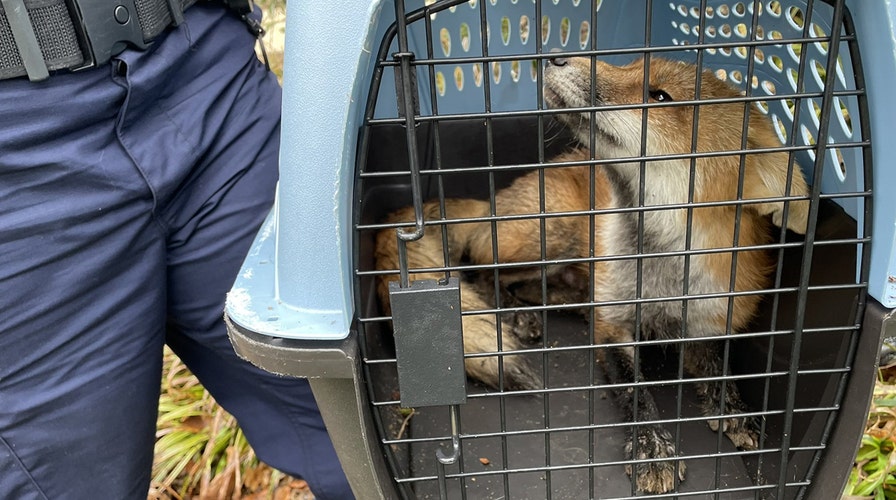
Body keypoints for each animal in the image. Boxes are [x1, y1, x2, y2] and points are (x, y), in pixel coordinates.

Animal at [374, 55, 808, 492]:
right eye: (631, 63)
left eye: (660, 96)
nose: (557, 56)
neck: (661, 275)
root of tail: (493, 202)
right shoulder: (613, 326)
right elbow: (636, 390)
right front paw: (652, 447)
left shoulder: (709, 319)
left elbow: (720, 368)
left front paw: (734, 409)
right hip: (552, 233)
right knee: (480, 270)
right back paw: (517, 314)